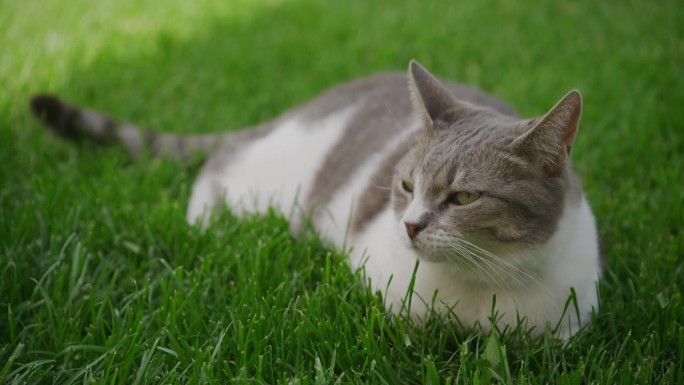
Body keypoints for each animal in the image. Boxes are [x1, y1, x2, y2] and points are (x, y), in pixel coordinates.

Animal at [32, 59, 600, 336]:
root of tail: (302, 106)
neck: (483, 286)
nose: (410, 225)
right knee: (220, 165)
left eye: (462, 197)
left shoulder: (565, 328)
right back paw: (206, 223)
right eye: (407, 186)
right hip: (264, 173)